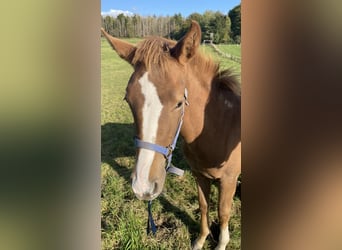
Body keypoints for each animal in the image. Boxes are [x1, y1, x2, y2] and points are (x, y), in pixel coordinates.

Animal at [101, 20, 240, 249]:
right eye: (128, 100)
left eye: (179, 103)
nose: (143, 186)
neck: (221, 127)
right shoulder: (199, 174)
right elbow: (204, 206)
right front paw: (201, 240)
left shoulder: (229, 180)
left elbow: (223, 212)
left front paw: (221, 243)